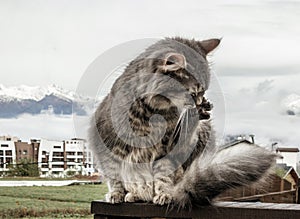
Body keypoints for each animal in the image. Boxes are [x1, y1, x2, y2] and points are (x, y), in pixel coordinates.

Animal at [88, 36, 276, 208]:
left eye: (203, 91)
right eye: (193, 93)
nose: (200, 103)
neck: (152, 112)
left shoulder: (169, 149)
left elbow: (163, 176)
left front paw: (164, 195)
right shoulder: (105, 143)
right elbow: (114, 177)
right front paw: (116, 194)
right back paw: (132, 195)